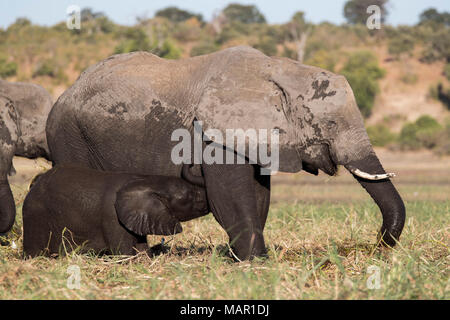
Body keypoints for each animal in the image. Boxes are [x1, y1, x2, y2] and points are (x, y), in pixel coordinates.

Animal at [22, 165, 209, 258]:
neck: (147, 180)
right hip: (35, 217)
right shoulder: (112, 217)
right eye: (191, 196)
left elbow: (141, 248)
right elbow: (123, 253)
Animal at [46, 45, 408, 260]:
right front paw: (256, 262)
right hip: (68, 134)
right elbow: (230, 195)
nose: (375, 246)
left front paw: (249, 258)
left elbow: (258, 195)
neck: (279, 70)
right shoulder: (214, 131)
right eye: (330, 123)